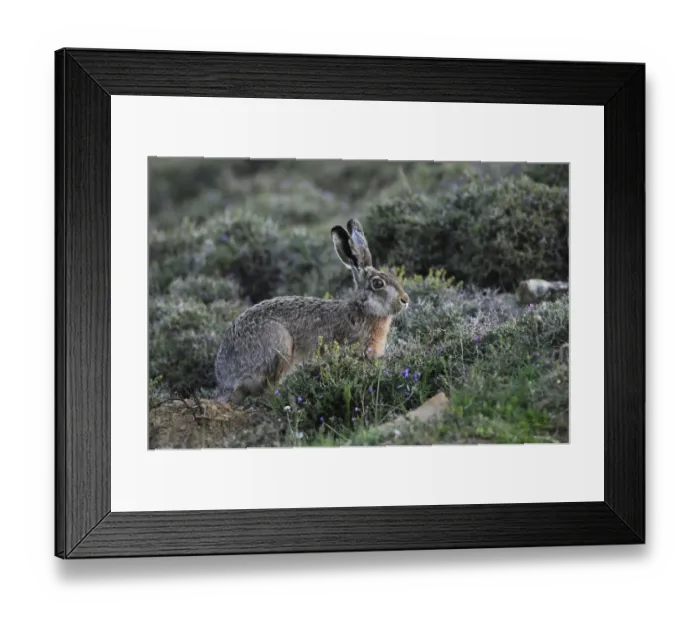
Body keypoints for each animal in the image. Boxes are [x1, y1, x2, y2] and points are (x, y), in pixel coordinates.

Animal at [214, 218, 410, 404]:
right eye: (377, 283)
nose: (405, 300)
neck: (364, 310)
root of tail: (226, 376)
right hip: (279, 344)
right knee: (269, 390)